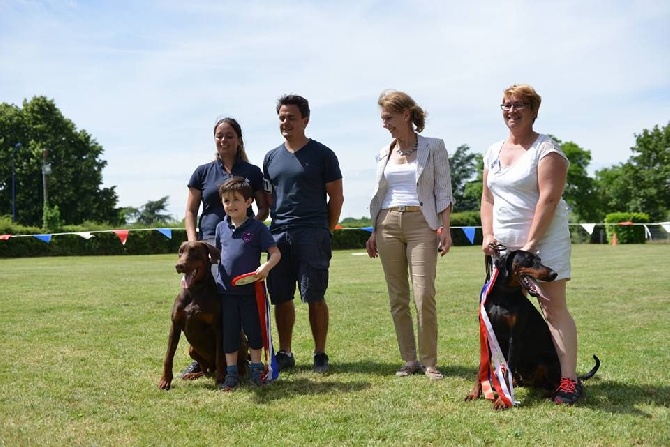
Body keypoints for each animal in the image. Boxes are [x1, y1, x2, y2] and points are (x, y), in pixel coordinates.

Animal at [160, 240, 249, 390]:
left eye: (194, 251)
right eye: (180, 251)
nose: (179, 265)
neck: (195, 291)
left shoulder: (218, 327)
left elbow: (220, 356)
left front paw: (221, 379)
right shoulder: (175, 325)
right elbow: (169, 356)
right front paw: (165, 380)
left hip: (240, 342)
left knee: (239, 363)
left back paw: (239, 373)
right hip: (192, 349)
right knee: (206, 370)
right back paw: (193, 374)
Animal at [464, 250, 600, 412]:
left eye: (540, 260)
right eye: (529, 260)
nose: (554, 274)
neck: (504, 295)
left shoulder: (514, 339)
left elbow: (508, 371)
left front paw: (503, 401)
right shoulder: (487, 335)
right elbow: (482, 369)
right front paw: (474, 394)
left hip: (549, 363)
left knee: (558, 384)